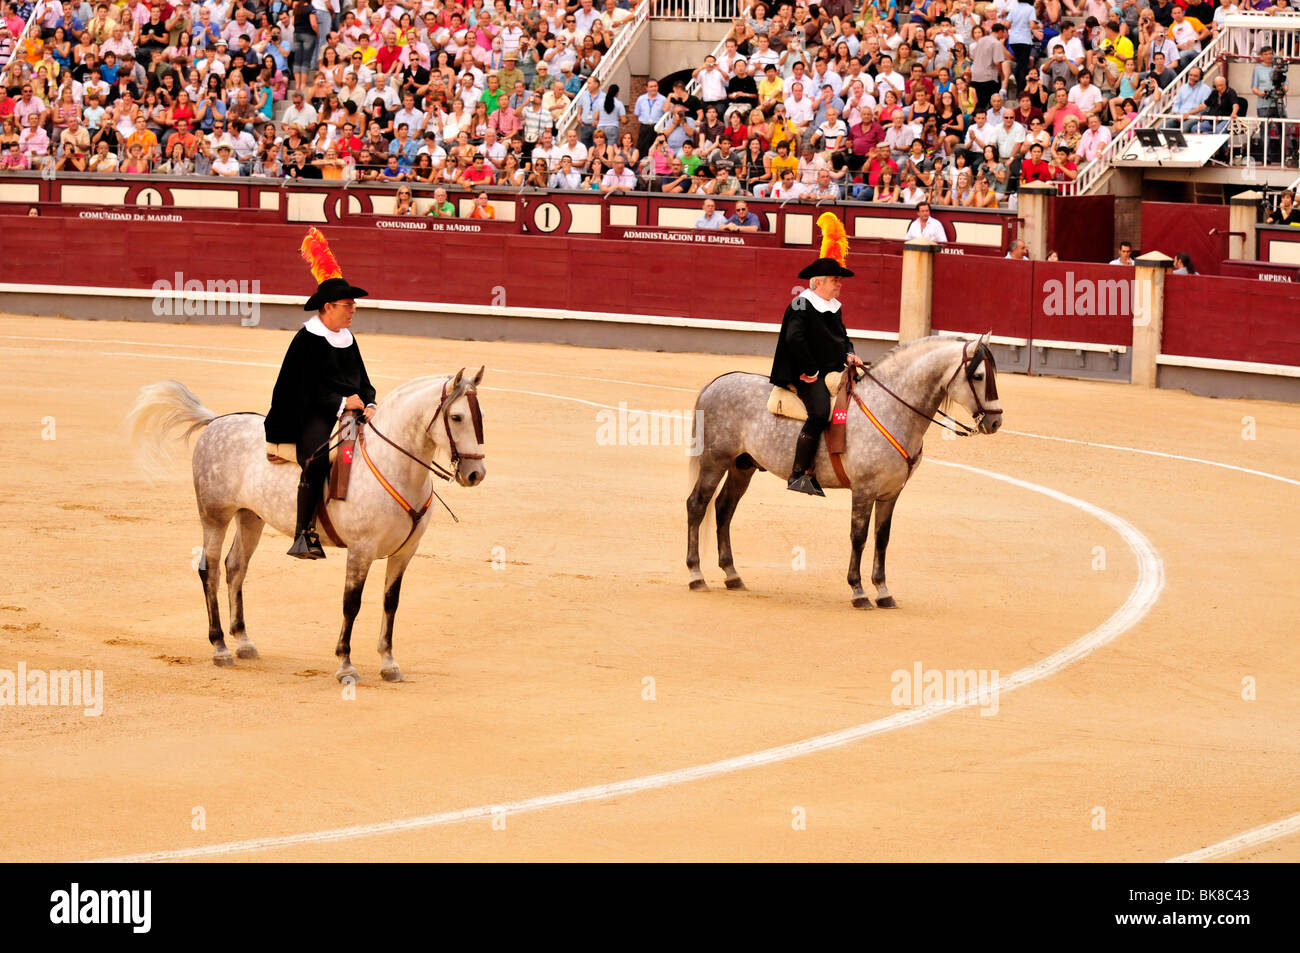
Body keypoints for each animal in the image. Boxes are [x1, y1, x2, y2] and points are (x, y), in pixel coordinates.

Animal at [128, 369, 488, 681]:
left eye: (480, 416)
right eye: (457, 417)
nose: (475, 474)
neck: (396, 466)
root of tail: (217, 421)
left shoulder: (405, 552)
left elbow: (391, 603)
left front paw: (388, 663)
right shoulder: (361, 550)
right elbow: (351, 603)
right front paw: (345, 665)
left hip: (250, 517)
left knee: (235, 567)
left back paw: (243, 641)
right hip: (215, 515)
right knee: (211, 569)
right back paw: (220, 647)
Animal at [691, 332, 1003, 603]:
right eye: (978, 376)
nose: (995, 421)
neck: (891, 408)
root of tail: (716, 383)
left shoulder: (891, 493)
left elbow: (882, 538)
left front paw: (883, 591)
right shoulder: (864, 490)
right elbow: (859, 536)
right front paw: (859, 591)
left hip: (742, 466)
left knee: (724, 509)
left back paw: (732, 575)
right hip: (714, 461)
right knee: (697, 505)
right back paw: (696, 575)